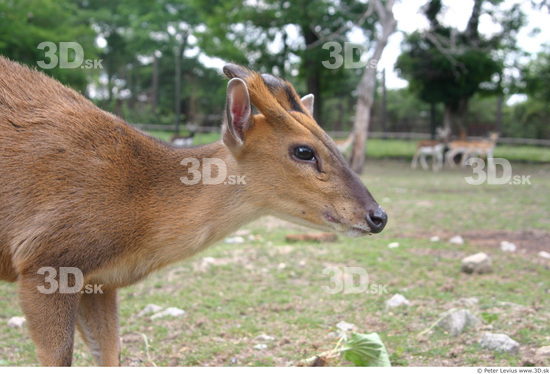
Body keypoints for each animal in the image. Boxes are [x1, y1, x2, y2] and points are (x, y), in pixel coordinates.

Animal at [0, 59, 388, 368]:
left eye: (331, 140)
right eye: (304, 151)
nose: (378, 216)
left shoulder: (100, 281)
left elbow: (111, 356)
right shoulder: (44, 260)